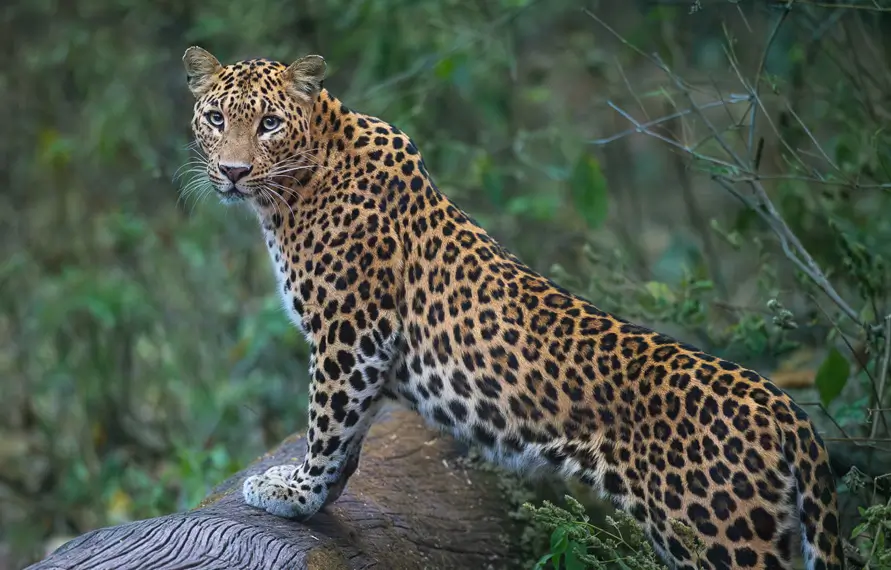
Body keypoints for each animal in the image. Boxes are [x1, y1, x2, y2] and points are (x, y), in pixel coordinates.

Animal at [181, 46, 845, 570]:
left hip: (721, 539)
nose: (233, 171)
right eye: (216, 118)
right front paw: (315, 494)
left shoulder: (352, 333)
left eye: (269, 123)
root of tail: (788, 414)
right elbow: (351, 436)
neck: (294, 189)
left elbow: (327, 424)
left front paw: (295, 495)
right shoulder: (367, 350)